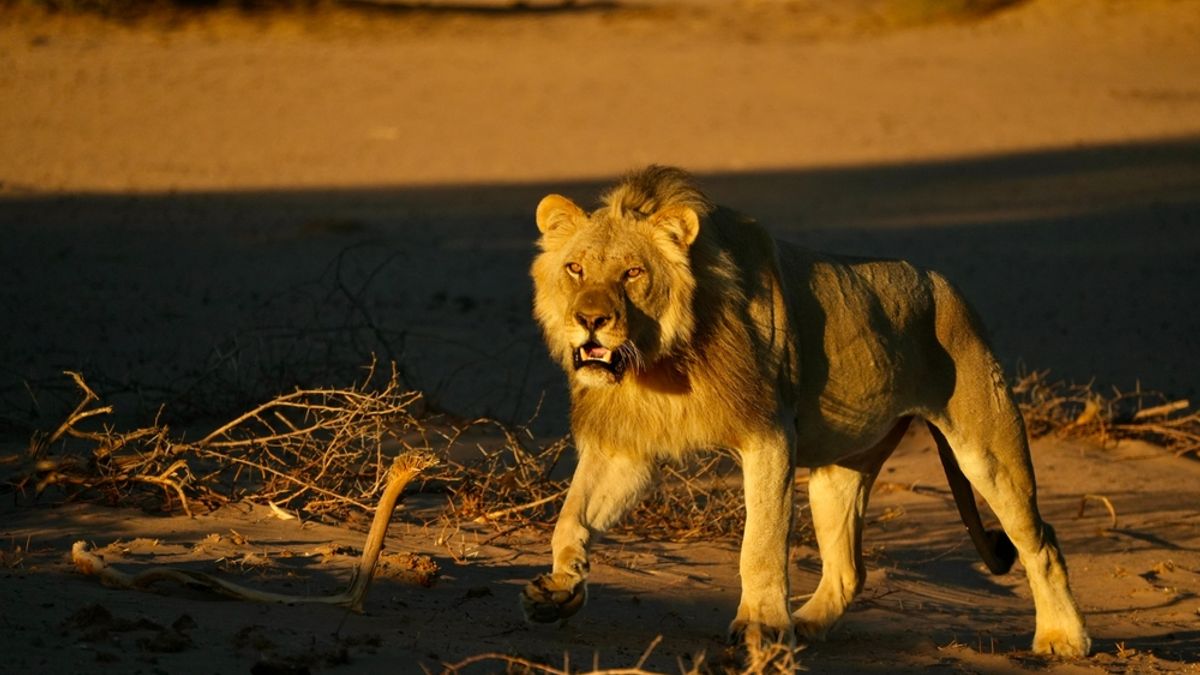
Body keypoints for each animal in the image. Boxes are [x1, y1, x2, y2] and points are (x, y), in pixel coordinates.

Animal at [521, 165, 1090, 657]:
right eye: (575, 268)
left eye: (633, 272)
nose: (590, 320)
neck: (658, 362)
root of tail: (946, 286)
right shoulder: (626, 449)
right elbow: (572, 517)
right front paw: (560, 588)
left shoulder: (769, 434)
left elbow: (761, 545)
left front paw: (763, 629)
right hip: (841, 469)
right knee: (849, 570)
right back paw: (810, 624)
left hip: (986, 447)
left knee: (1041, 542)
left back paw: (1063, 639)